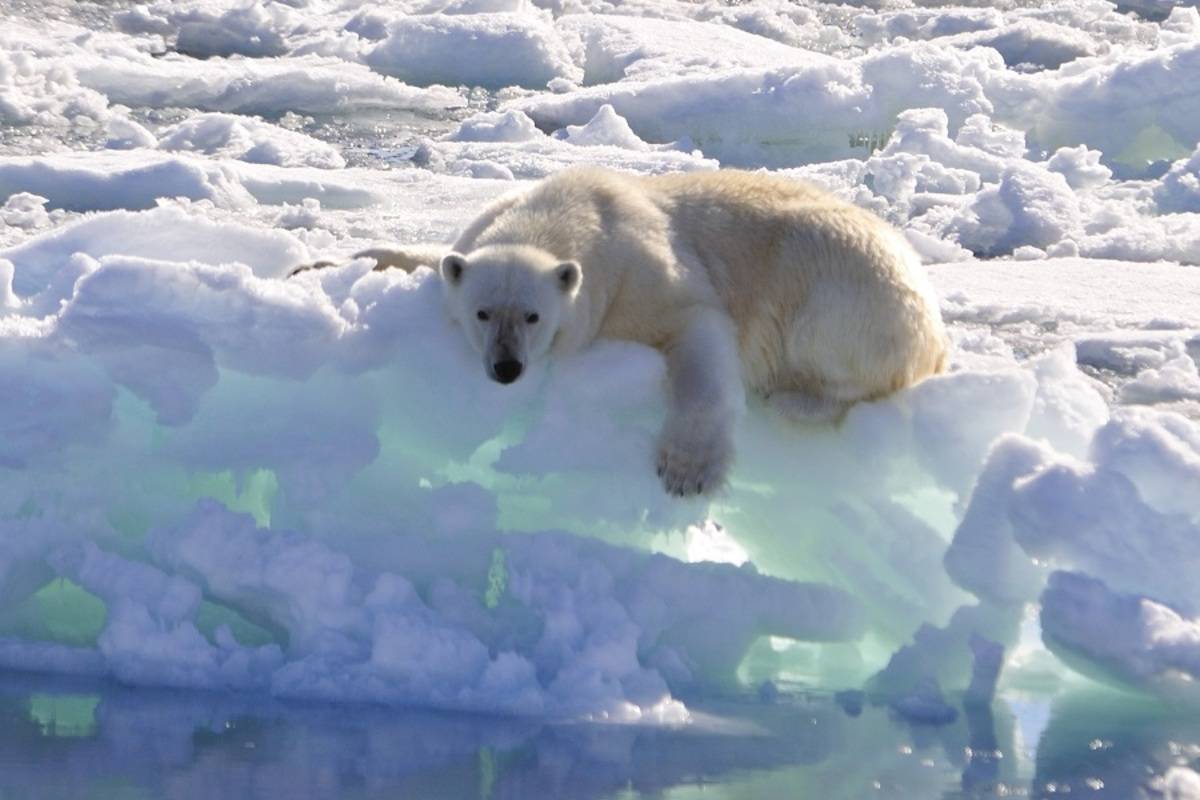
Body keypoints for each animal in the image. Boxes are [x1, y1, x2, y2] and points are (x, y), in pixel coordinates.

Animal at [350, 167, 955, 494]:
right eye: (482, 313)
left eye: (532, 316)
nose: (506, 367)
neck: (568, 211)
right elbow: (436, 259)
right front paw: (357, 257)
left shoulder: (643, 276)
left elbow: (700, 331)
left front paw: (687, 469)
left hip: (841, 287)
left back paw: (795, 398)